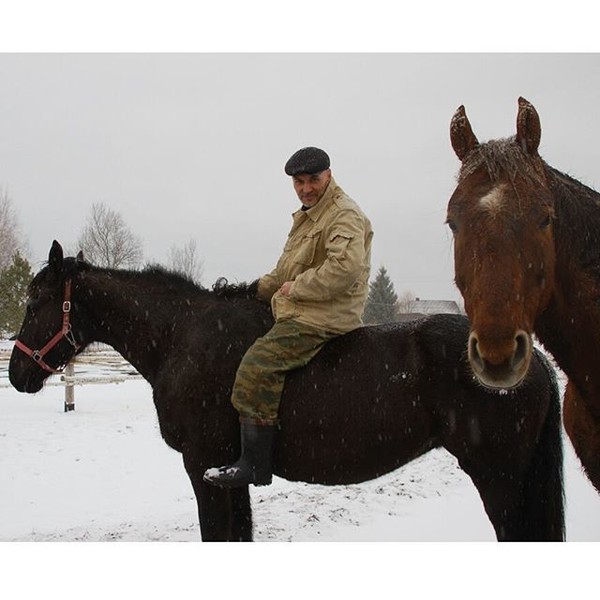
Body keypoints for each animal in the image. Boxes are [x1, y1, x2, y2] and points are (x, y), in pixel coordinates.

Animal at [7, 241, 564, 540]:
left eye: (36, 301)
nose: (16, 374)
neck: (184, 337)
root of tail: (528, 355)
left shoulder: (204, 467)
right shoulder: (229, 474)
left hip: (500, 480)